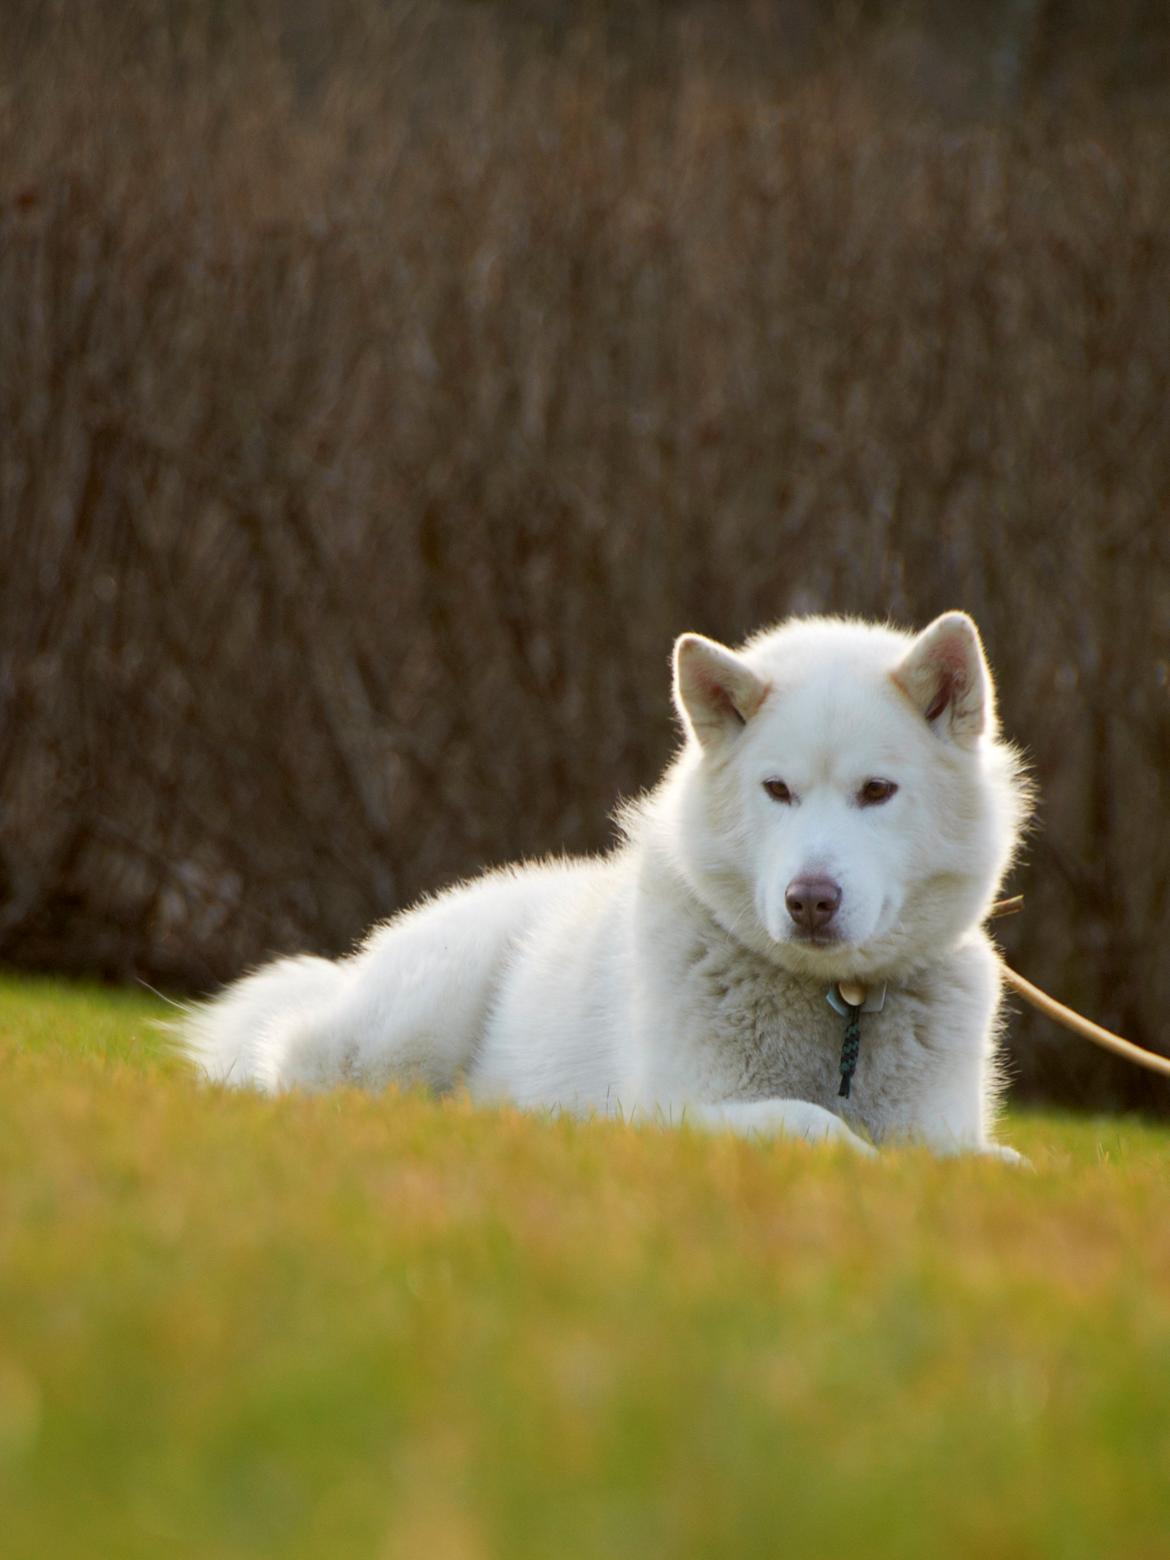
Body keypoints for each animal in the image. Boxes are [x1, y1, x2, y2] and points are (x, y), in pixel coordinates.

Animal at [180, 614, 1023, 1154]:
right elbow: (819, 1127)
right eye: (777, 789)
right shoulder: (675, 1107)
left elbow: (993, 1158)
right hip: (406, 1028)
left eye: (877, 791)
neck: (840, 1006)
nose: (809, 901)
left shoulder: (944, 1128)